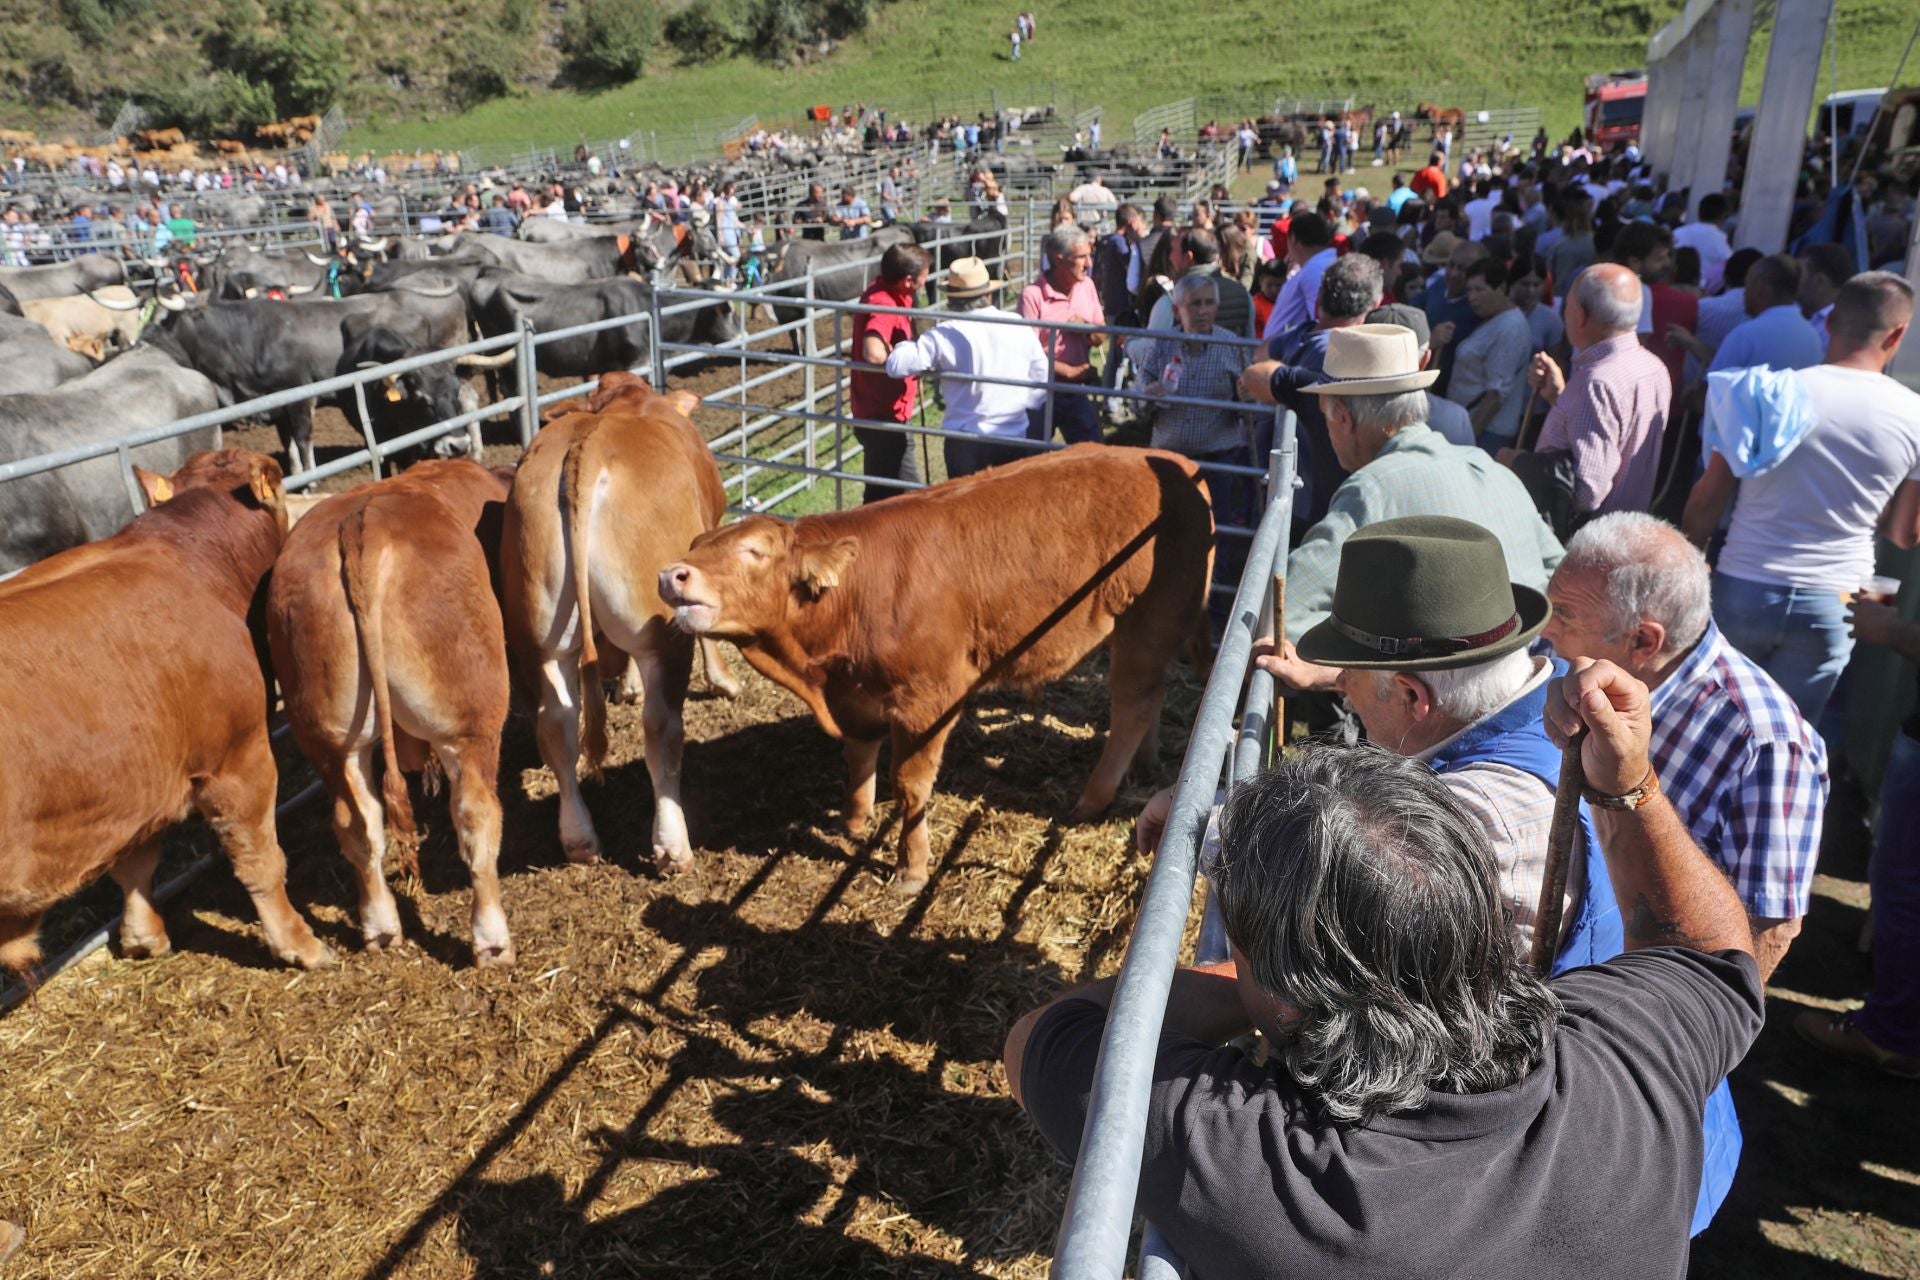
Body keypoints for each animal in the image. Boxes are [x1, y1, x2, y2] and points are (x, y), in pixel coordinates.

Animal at [0, 452, 334, 982]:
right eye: (284, 494)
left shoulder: (135, 779)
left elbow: (136, 861)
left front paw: (143, 938)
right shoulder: (239, 756)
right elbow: (261, 858)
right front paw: (298, 944)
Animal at [266, 454, 518, 967]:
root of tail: (365, 526)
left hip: (330, 738)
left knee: (358, 824)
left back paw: (381, 928)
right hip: (468, 726)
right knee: (476, 820)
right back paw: (492, 942)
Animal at [499, 370, 729, 871]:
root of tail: (588, 447)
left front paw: (626, 686)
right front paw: (723, 680)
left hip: (542, 636)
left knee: (558, 725)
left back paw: (579, 839)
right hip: (661, 630)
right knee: (660, 729)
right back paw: (672, 847)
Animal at [652, 441, 1205, 890]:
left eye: (754, 551)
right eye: (696, 545)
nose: (672, 574)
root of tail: (1176, 461)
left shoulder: (928, 699)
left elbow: (910, 785)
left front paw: (910, 868)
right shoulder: (856, 696)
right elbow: (858, 756)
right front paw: (853, 821)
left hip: (1146, 619)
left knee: (1132, 705)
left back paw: (1093, 798)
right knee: (1152, 696)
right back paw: (1146, 764)